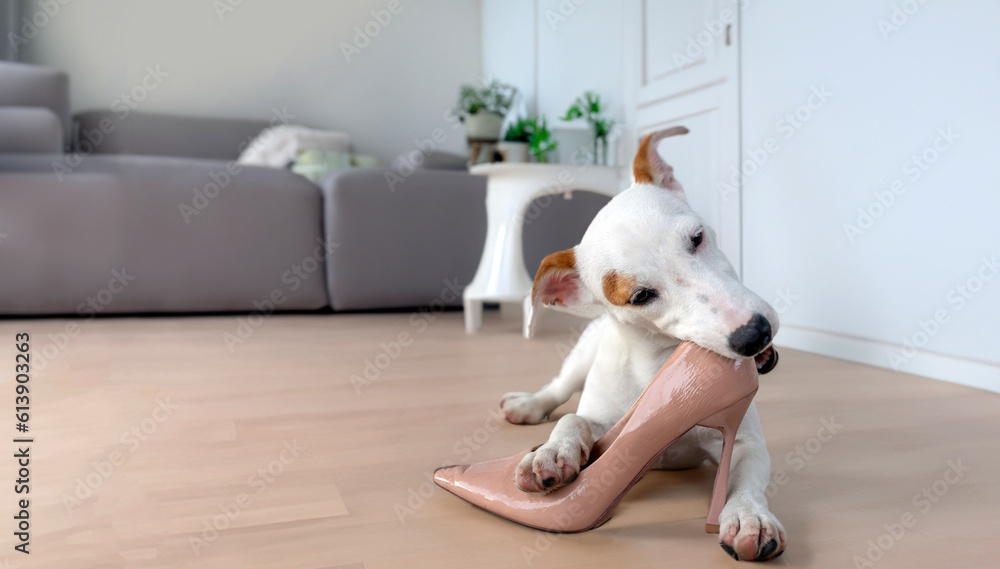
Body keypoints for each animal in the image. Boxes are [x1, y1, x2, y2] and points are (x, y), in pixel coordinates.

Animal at [504, 127, 784, 560]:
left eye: (697, 238)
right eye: (640, 296)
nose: (755, 334)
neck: (659, 368)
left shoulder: (742, 438)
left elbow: (747, 476)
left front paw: (747, 515)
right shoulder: (601, 419)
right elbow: (574, 419)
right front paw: (552, 451)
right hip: (581, 357)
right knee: (559, 388)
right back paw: (529, 405)